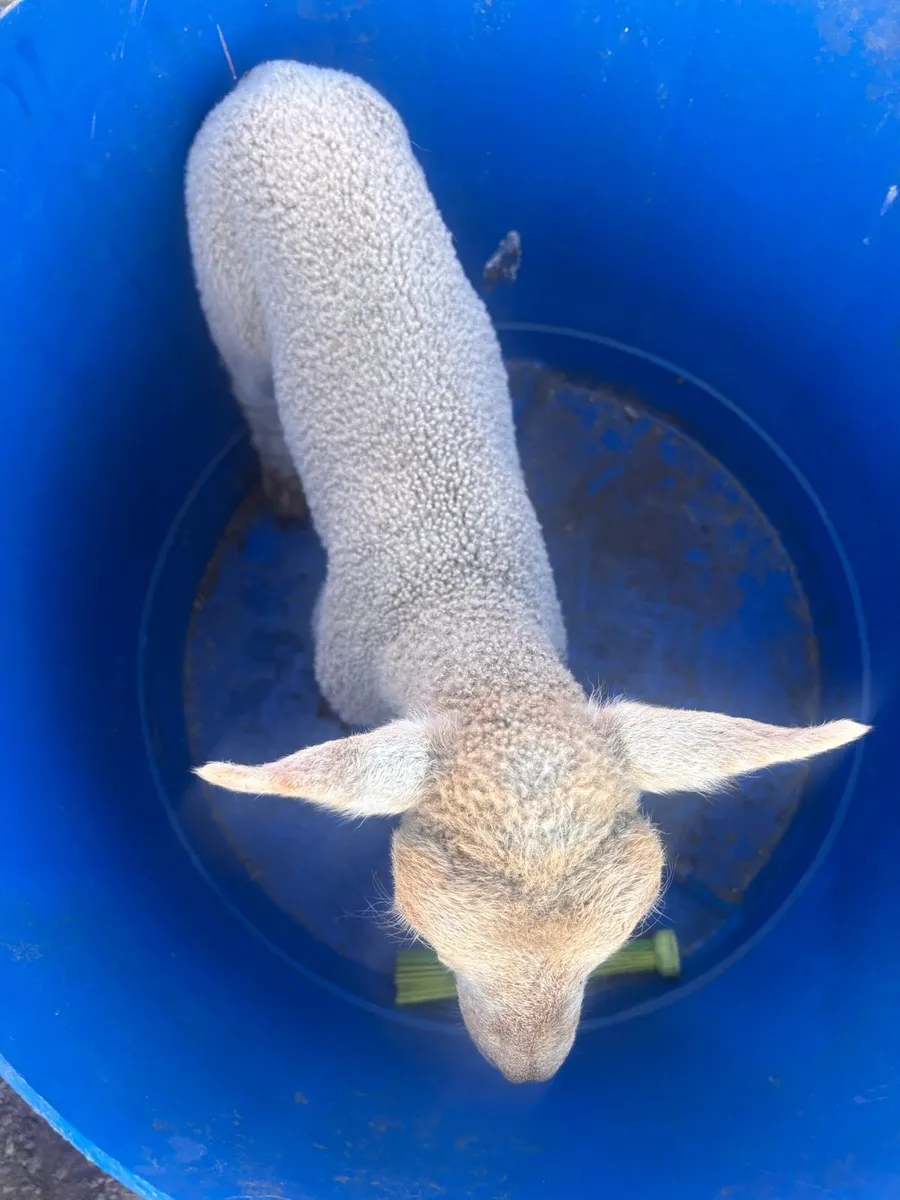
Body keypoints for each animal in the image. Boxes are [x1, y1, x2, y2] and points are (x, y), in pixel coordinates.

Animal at [185, 60, 869, 1083]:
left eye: (619, 939)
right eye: (429, 938)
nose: (528, 1076)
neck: (465, 615)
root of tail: (280, 74)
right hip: (219, 265)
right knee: (249, 386)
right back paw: (276, 479)